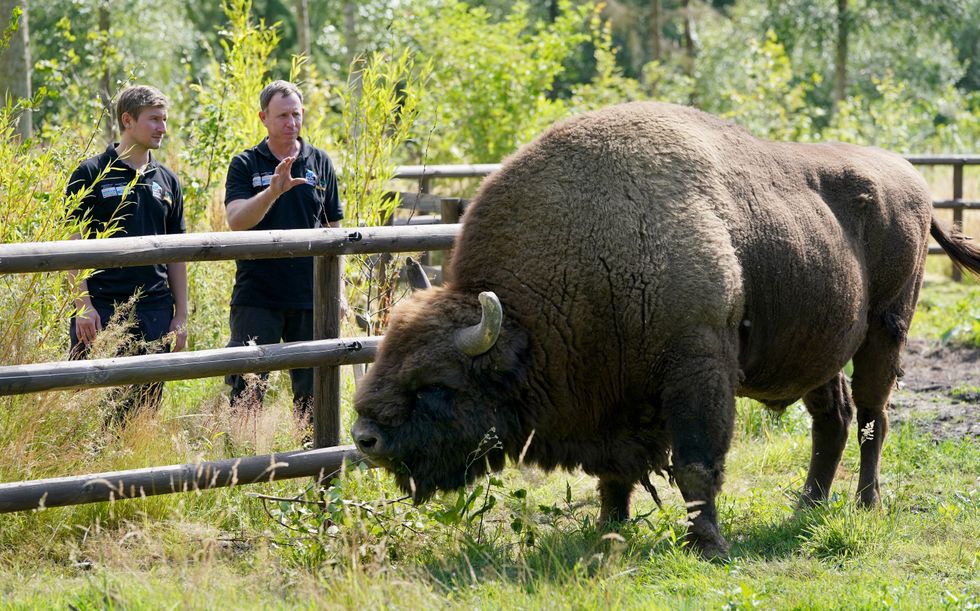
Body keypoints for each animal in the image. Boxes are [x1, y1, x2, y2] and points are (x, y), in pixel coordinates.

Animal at [351, 102, 980, 558]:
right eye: (385, 359)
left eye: (438, 385)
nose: (365, 439)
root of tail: (912, 181)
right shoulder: (611, 401)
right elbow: (614, 476)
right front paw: (607, 533)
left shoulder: (697, 369)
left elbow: (696, 466)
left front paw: (708, 547)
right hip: (817, 348)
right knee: (835, 419)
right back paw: (807, 507)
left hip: (886, 329)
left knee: (873, 417)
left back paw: (865, 505)